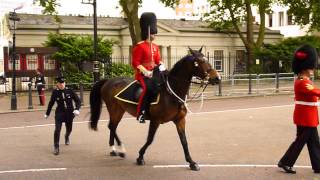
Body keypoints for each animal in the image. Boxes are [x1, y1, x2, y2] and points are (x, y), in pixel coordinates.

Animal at [89, 47, 220, 171]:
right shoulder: (155, 120)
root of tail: (108, 80)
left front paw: (191, 162)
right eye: (199, 61)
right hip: (115, 109)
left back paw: (114, 150)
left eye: (207, 59)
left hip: (120, 110)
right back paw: (120, 150)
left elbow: (184, 141)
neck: (171, 92)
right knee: (112, 126)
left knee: (112, 126)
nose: (217, 78)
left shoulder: (180, 120)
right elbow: (150, 139)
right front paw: (140, 157)